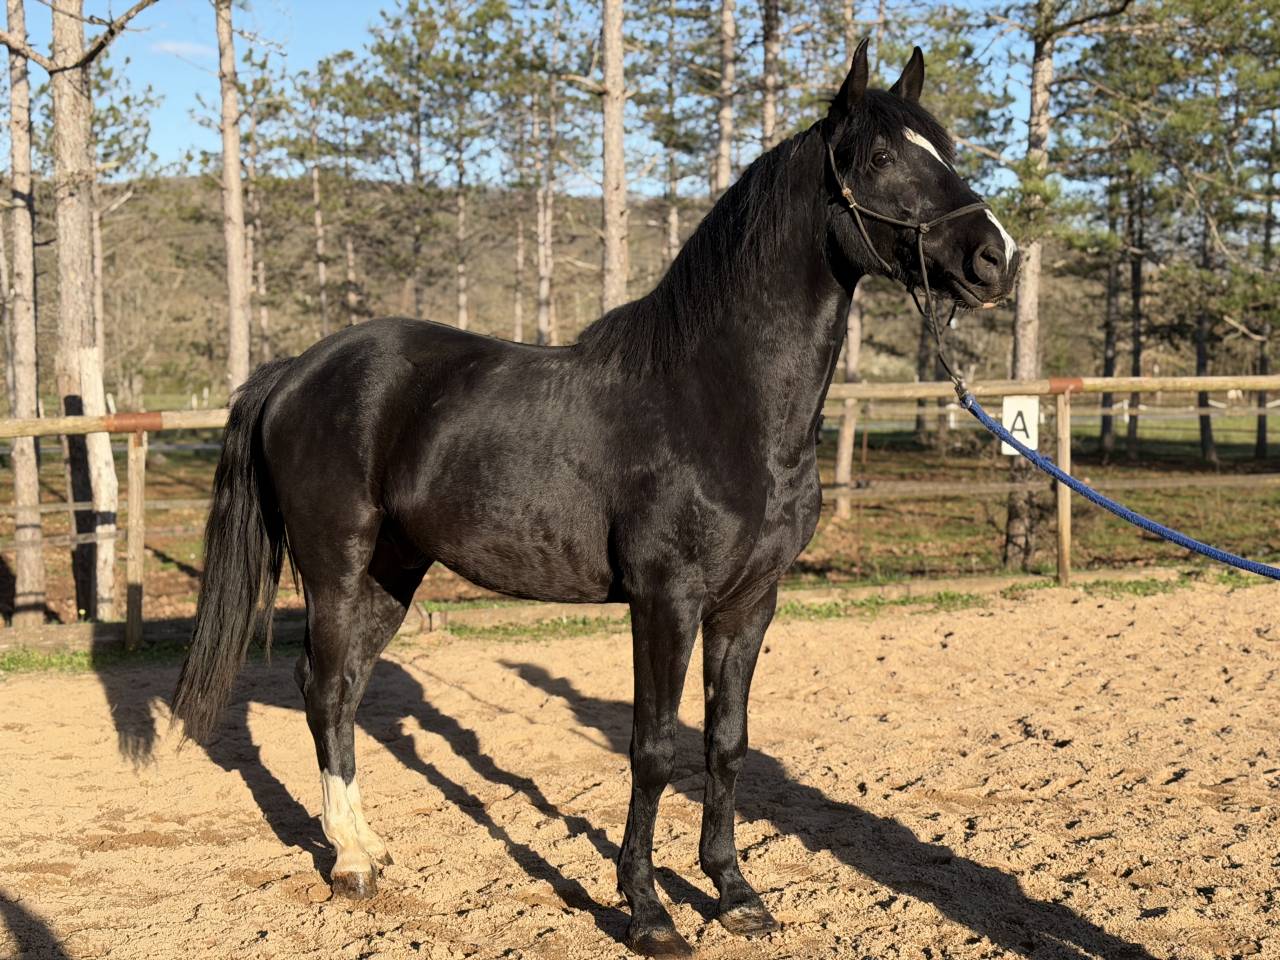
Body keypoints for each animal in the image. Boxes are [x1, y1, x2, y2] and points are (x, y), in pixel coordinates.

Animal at [172, 39, 1019, 957]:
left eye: (944, 145)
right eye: (881, 157)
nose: (995, 257)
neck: (719, 399)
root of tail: (297, 369)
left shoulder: (750, 602)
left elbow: (727, 746)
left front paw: (734, 894)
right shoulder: (665, 601)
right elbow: (653, 750)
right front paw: (648, 911)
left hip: (393, 572)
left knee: (348, 690)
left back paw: (368, 845)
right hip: (336, 564)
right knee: (324, 688)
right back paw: (353, 865)